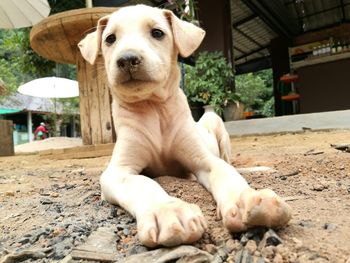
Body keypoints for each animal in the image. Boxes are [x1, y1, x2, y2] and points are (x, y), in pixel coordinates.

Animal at [78, 4, 292, 250]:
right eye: (110, 39)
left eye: (157, 33)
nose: (127, 59)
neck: (154, 108)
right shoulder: (117, 172)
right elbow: (142, 183)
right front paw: (167, 212)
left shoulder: (204, 160)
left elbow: (226, 172)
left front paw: (246, 201)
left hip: (215, 123)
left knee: (229, 162)